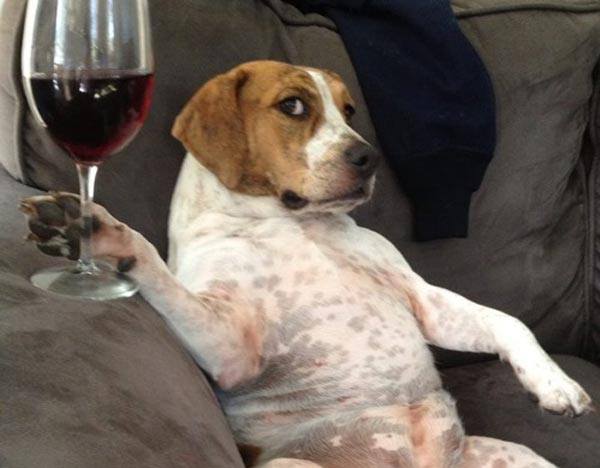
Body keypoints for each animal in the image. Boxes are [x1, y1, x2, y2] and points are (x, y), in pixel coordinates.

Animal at [21, 60, 592, 466]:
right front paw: (95, 231)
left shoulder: (424, 300)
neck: (296, 223)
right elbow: (146, 256)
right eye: (293, 106)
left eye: (349, 111)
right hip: (290, 466)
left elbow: (510, 322)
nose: (369, 158)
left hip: (520, 458)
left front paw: (553, 382)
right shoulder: (231, 347)